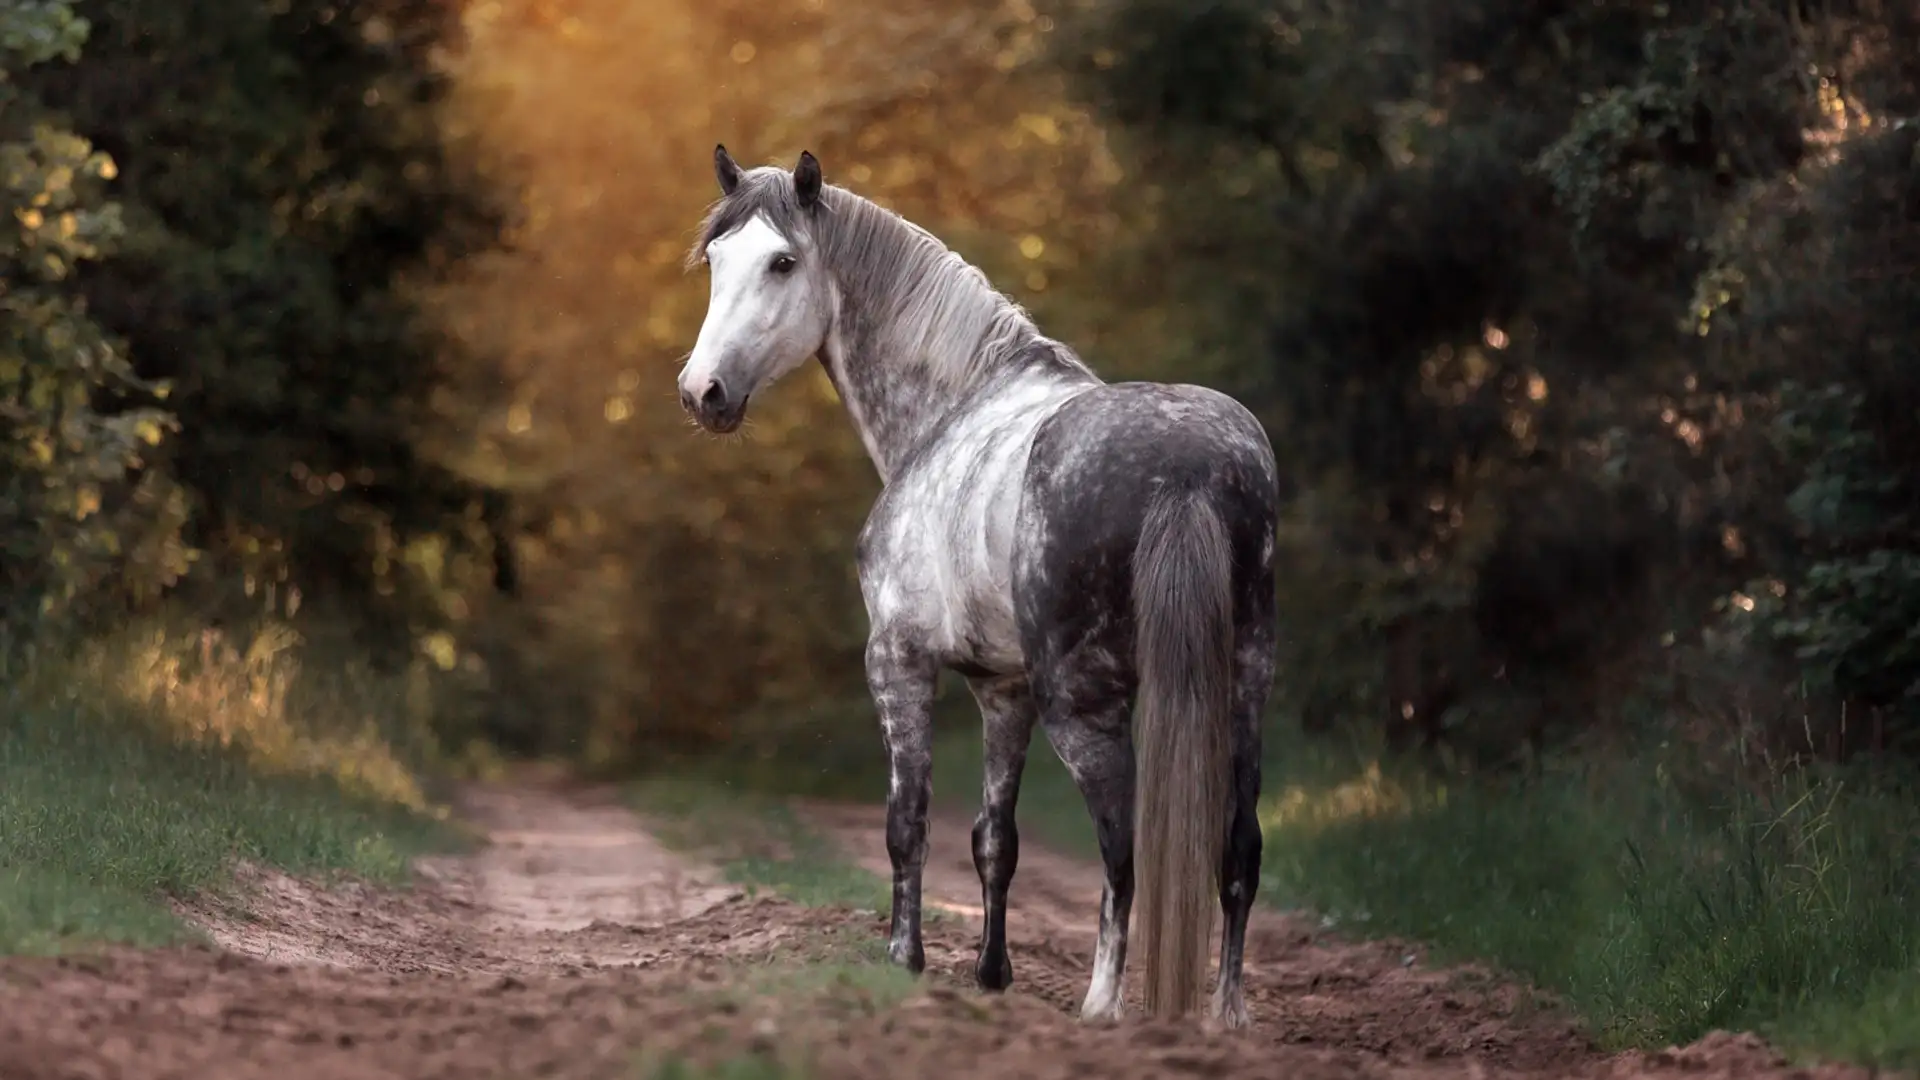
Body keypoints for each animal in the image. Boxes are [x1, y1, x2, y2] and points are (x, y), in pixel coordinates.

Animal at [676, 146, 1278, 1027]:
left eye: (782, 262)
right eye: (717, 259)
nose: (703, 393)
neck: (952, 410)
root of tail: (1188, 468)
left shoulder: (899, 663)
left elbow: (909, 824)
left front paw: (905, 960)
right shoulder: (1003, 689)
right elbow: (995, 838)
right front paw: (992, 975)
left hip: (1086, 705)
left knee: (1122, 849)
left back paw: (1103, 1007)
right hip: (1242, 689)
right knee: (1238, 849)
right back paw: (1226, 1018)